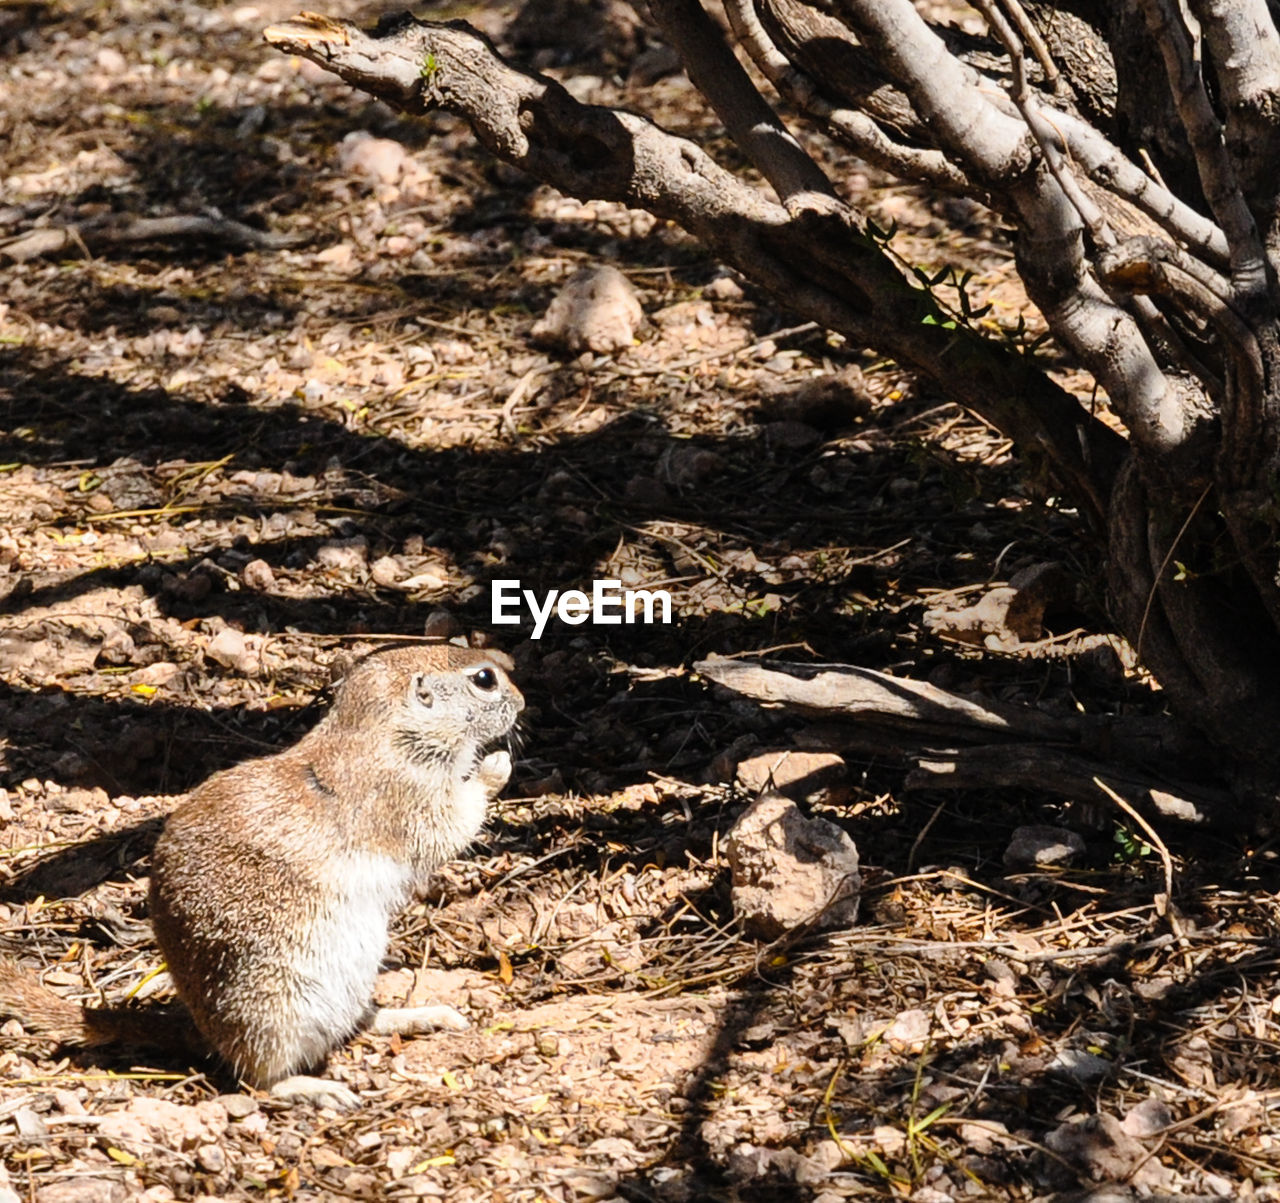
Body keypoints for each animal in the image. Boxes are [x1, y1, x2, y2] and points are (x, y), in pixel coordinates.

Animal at [0, 647, 524, 1110]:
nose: (522, 702)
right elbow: (452, 822)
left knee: (355, 1025)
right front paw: (496, 766)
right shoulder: (407, 797)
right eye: (484, 679)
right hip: (274, 1010)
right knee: (258, 1079)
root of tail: (204, 1032)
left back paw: (425, 1016)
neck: (387, 731)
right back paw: (318, 1089)